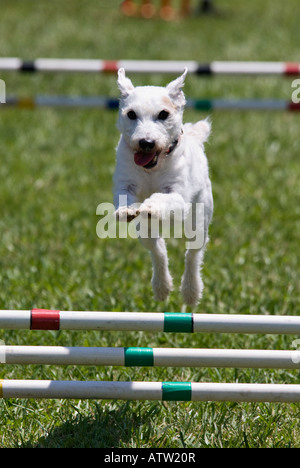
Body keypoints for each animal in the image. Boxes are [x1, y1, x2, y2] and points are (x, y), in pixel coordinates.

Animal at [113, 67, 213, 306]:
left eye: (163, 114)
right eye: (131, 114)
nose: (146, 142)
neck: (153, 169)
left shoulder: (177, 194)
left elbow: (163, 197)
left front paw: (152, 206)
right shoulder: (125, 182)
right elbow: (123, 197)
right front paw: (125, 211)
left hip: (199, 220)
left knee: (193, 254)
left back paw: (190, 291)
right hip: (146, 231)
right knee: (158, 249)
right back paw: (162, 287)